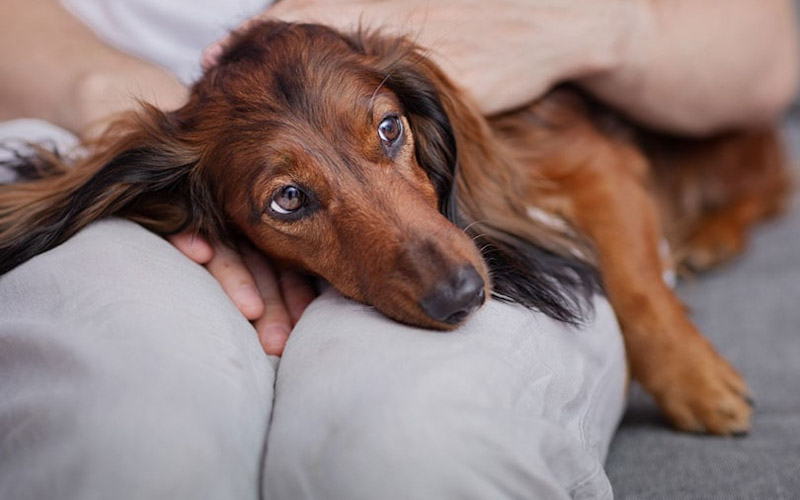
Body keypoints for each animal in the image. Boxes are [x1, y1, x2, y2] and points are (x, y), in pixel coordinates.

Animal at [0, 20, 792, 434]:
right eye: (288, 200)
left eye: (389, 129)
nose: (463, 296)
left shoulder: (592, 160)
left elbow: (637, 286)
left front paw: (695, 380)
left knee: (770, 181)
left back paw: (709, 234)